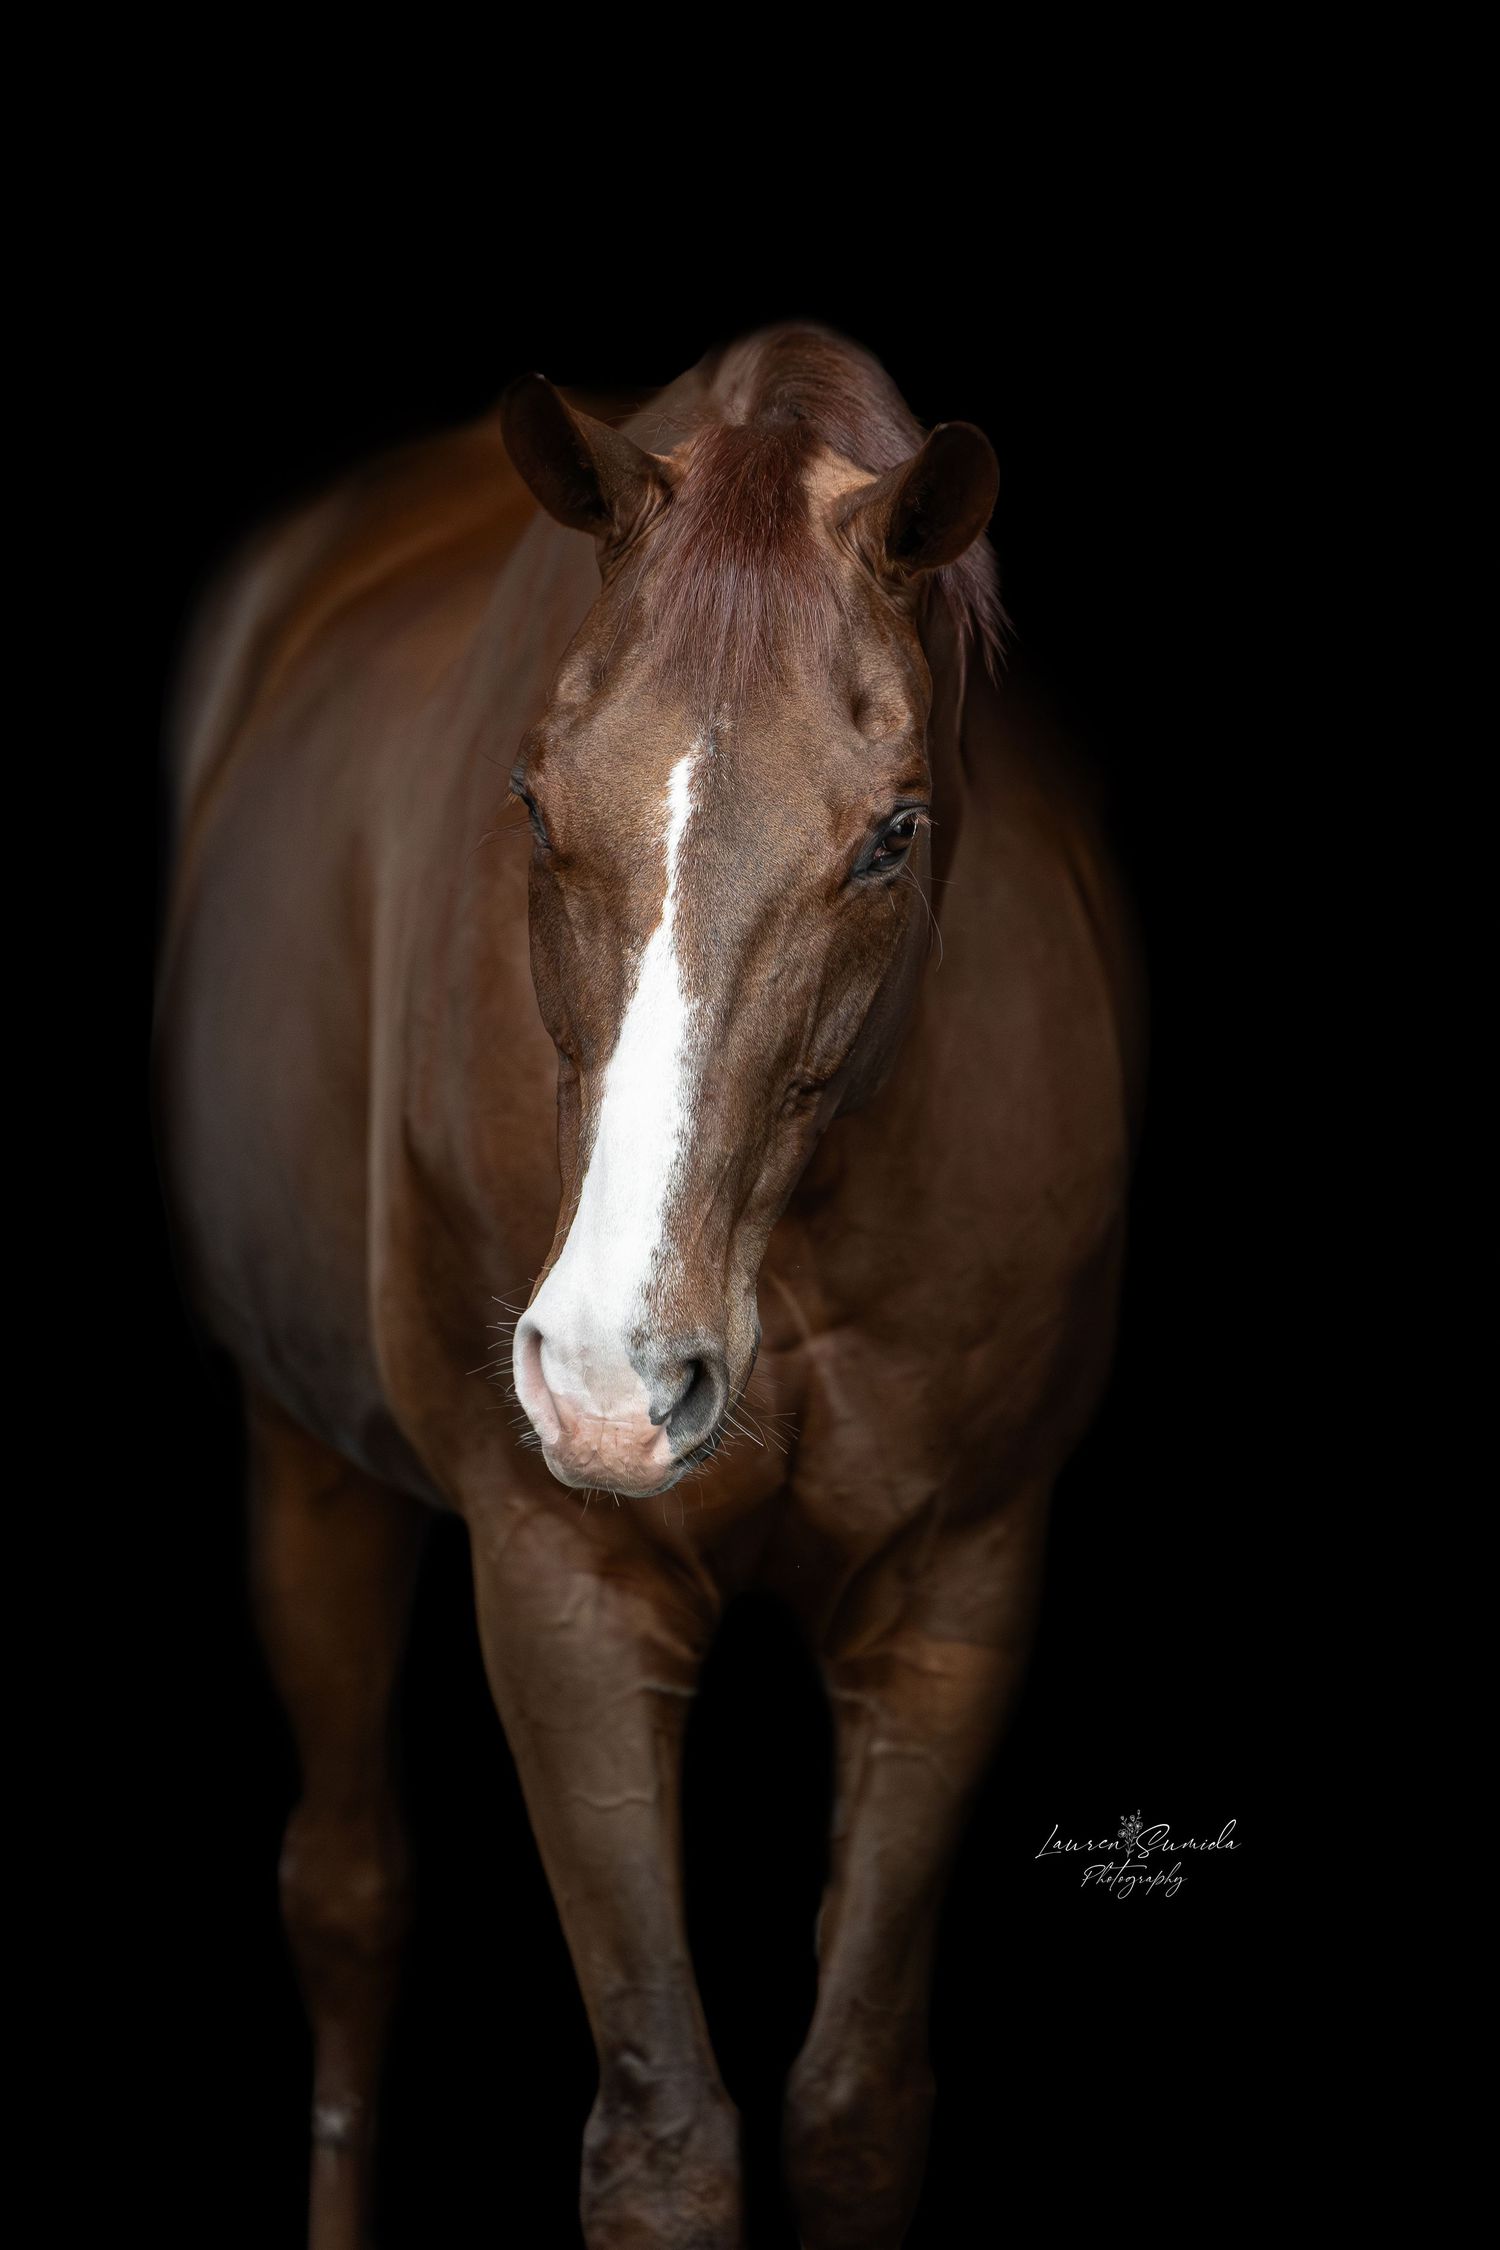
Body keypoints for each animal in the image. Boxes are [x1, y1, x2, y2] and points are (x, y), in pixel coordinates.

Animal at [154, 320, 1146, 2250]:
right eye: (534, 797)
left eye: (893, 834)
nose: (612, 1381)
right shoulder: (569, 1590)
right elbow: (664, 2136)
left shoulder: (958, 1591)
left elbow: (852, 2108)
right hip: (308, 1468)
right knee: (348, 1899)